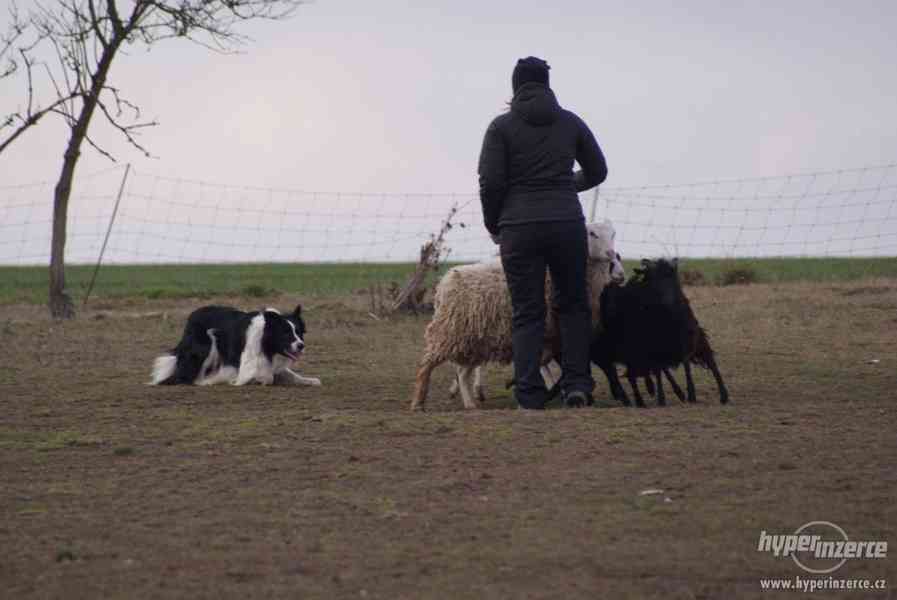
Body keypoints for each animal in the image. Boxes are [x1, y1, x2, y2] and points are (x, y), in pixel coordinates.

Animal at [596, 258, 728, 408]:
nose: (668, 301)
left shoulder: (687, 337)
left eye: (673, 277)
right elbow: (659, 370)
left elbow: (688, 364)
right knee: (634, 374)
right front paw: (662, 398)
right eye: (655, 279)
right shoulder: (654, 345)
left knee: (710, 362)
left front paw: (691, 394)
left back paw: (722, 395)